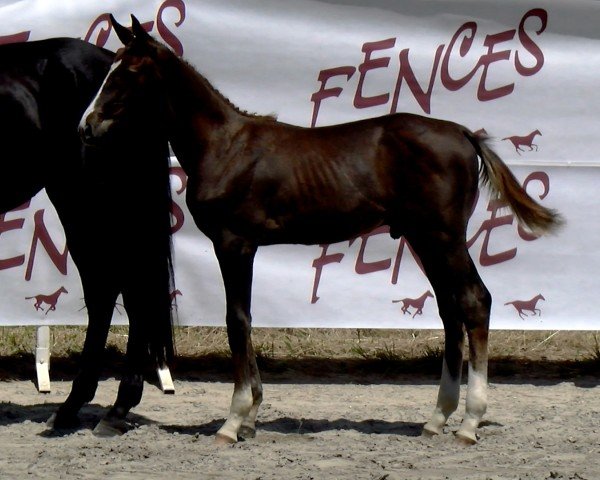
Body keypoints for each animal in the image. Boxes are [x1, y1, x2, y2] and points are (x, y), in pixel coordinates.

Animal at [81, 17, 564, 446]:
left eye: (128, 72)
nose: (86, 126)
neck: (224, 147)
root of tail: (465, 134)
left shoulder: (234, 244)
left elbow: (237, 321)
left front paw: (233, 422)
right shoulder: (243, 247)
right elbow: (246, 319)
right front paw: (251, 416)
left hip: (443, 237)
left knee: (474, 301)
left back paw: (469, 423)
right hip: (424, 240)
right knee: (450, 311)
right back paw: (436, 419)